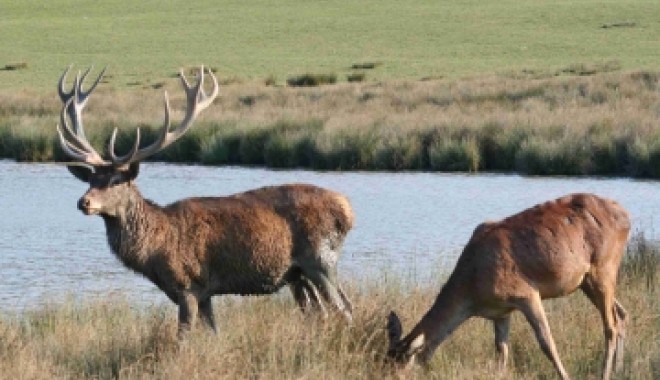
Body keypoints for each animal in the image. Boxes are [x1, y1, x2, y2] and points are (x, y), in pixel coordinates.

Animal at [57, 65, 356, 336]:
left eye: (115, 181)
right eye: (91, 180)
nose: (83, 202)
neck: (156, 247)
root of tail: (348, 210)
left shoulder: (187, 285)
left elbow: (183, 337)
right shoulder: (205, 293)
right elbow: (213, 332)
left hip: (320, 259)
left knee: (344, 308)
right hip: (298, 275)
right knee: (322, 312)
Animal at [386, 194, 628, 378]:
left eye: (401, 369)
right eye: (386, 360)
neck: (472, 292)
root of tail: (627, 217)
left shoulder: (526, 293)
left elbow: (546, 343)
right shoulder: (501, 311)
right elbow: (501, 351)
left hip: (604, 268)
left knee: (611, 326)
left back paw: (606, 373)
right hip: (586, 281)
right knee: (621, 313)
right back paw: (618, 369)